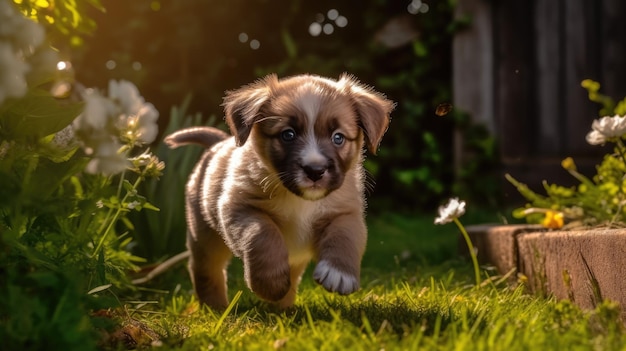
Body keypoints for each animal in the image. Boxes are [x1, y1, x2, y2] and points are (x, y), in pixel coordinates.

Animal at [163, 73, 392, 310]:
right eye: (288, 134)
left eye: (338, 137)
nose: (315, 171)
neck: (301, 201)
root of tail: (217, 144)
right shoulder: (240, 208)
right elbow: (262, 236)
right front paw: (269, 284)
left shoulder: (346, 212)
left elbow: (345, 236)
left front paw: (339, 273)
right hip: (204, 237)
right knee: (207, 271)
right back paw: (216, 308)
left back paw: (282, 308)